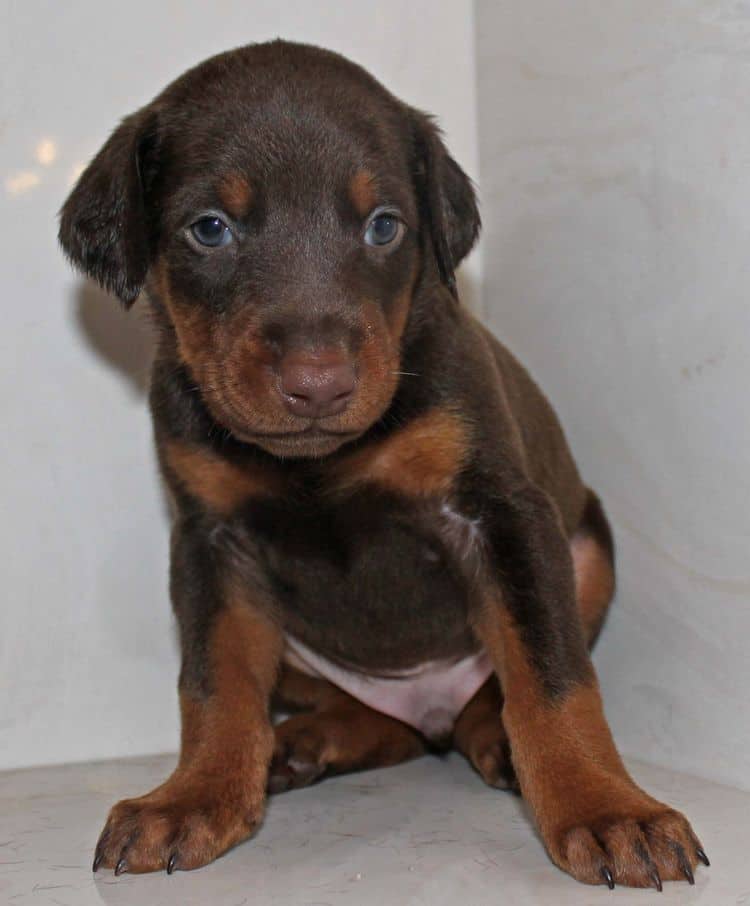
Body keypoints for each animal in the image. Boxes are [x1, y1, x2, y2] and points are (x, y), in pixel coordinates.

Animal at [60, 40, 712, 884]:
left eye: (383, 226)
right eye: (209, 228)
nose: (318, 383)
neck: (317, 460)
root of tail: (428, 711)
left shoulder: (501, 513)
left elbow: (554, 676)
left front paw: (606, 809)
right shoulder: (210, 542)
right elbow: (212, 683)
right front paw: (194, 797)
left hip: (588, 547)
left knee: (493, 695)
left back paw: (491, 737)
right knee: (382, 725)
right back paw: (306, 742)